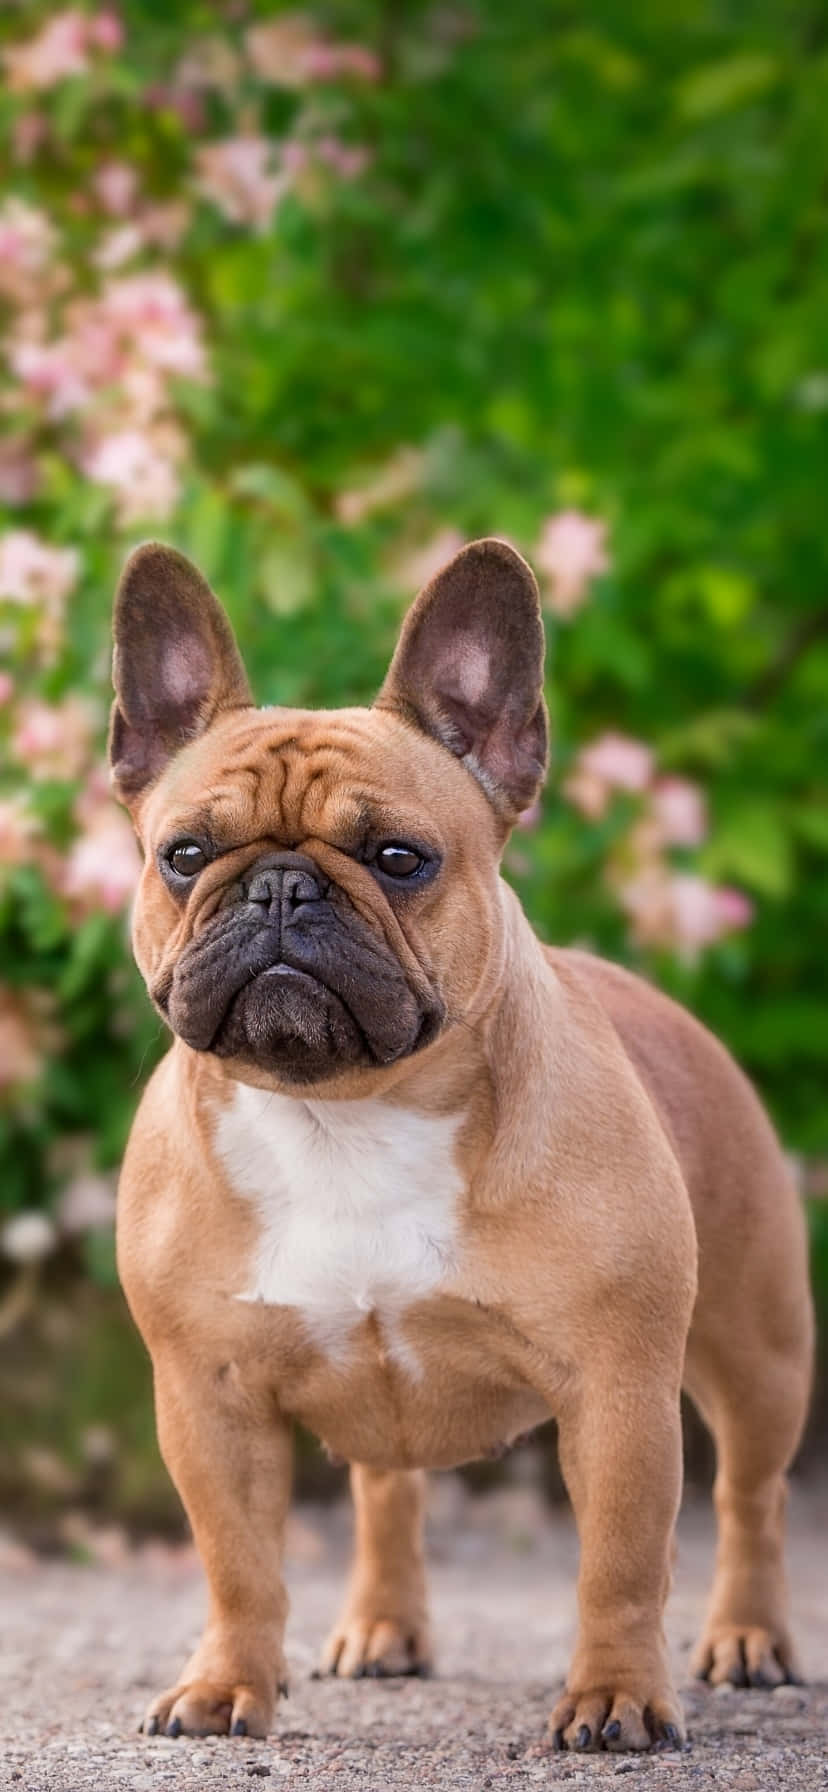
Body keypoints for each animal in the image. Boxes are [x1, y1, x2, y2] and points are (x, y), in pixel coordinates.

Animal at [111, 530, 813, 1748]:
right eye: (185, 853)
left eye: (400, 858)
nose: (281, 887)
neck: (344, 1113)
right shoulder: (208, 1394)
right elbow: (237, 1561)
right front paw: (227, 1683)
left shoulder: (618, 1388)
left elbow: (621, 1560)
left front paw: (616, 1694)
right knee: (388, 1487)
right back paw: (383, 1628)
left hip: (759, 1344)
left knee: (750, 1497)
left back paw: (748, 1639)